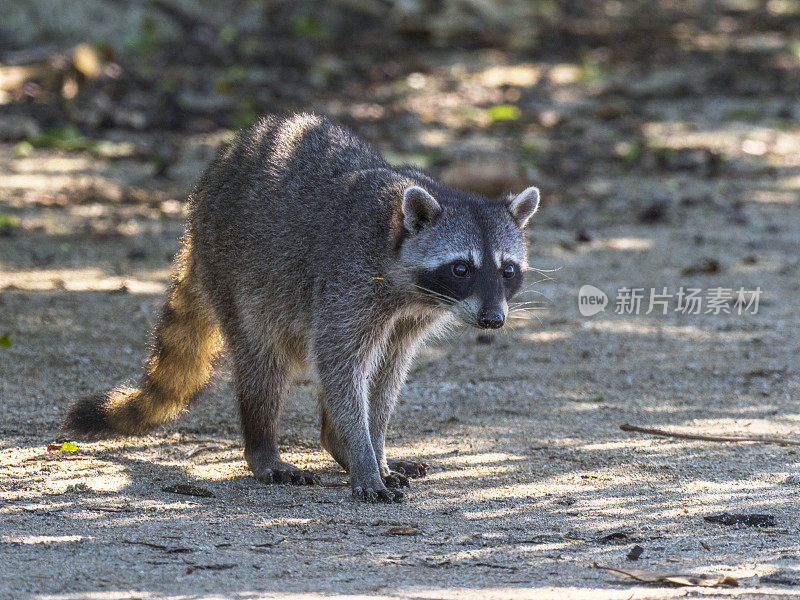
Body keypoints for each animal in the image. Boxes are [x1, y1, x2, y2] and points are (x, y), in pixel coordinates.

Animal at [62, 112, 536, 502]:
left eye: (508, 270)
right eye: (461, 268)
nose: (493, 320)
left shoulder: (406, 319)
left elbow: (386, 376)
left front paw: (375, 449)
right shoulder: (348, 283)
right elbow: (341, 365)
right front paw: (364, 457)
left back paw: (334, 442)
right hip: (235, 272)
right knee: (263, 364)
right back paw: (265, 449)